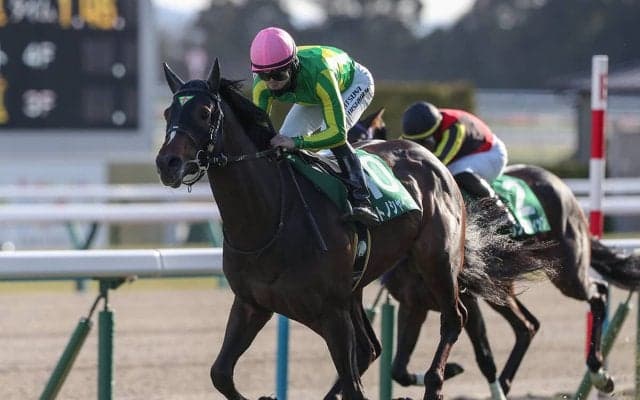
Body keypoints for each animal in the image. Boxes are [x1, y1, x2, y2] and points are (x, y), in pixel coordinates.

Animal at [155, 60, 556, 400]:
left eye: (205, 112)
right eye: (167, 112)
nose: (167, 163)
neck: (268, 219)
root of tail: (431, 159)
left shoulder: (331, 311)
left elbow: (352, 385)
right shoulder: (252, 304)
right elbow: (220, 374)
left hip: (437, 261)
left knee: (454, 319)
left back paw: (436, 380)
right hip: (357, 289)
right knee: (371, 349)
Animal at [349, 110, 640, 399]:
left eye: (362, 139)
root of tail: (561, 185)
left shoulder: (467, 299)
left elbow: (484, 357)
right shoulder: (413, 304)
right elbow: (398, 368)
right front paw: (451, 370)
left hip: (567, 271)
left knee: (598, 293)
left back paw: (599, 372)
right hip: (501, 288)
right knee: (527, 326)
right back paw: (509, 381)